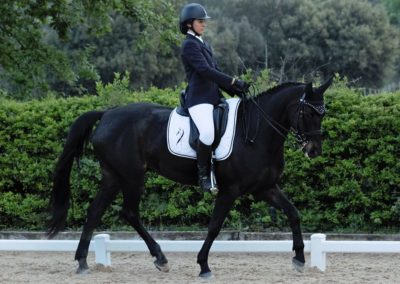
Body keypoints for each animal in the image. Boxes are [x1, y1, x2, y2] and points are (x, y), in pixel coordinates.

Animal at [48, 77, 332, 278]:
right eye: (308, 113)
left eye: (323, 113)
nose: (314, 150)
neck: (256, 131)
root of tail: (107, 114)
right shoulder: (230, 190)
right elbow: (215, 226)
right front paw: (204, 265)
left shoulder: (265, 188)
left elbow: (293, 213)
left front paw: (299, 259)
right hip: (131, 177)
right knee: (128, 212)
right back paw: (159, 259)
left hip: (113, 177)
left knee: (95, 212)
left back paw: (84, 261)